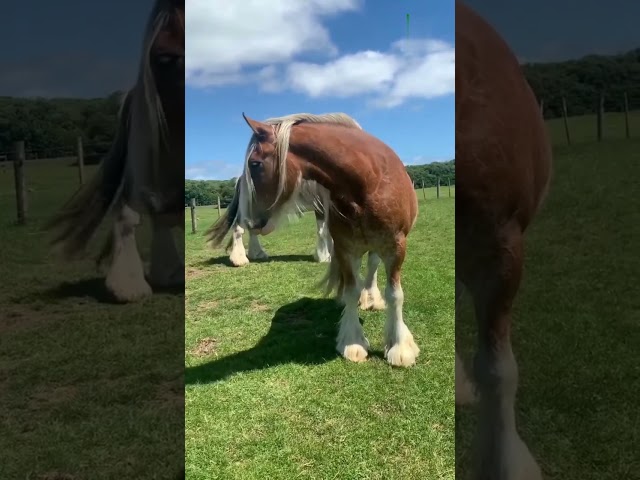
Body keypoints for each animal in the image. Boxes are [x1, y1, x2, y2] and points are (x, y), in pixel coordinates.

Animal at [211, 112, 420, 366]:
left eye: (255, 164)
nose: (256, 221)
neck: (370, 182)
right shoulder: (344, 246)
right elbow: (350, 289)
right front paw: (353, 342)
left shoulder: (395, 246)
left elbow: (394, 293)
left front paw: (399, 346)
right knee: (241, 230)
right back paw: (244, 256)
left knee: (371, 266)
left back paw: (371, 297)